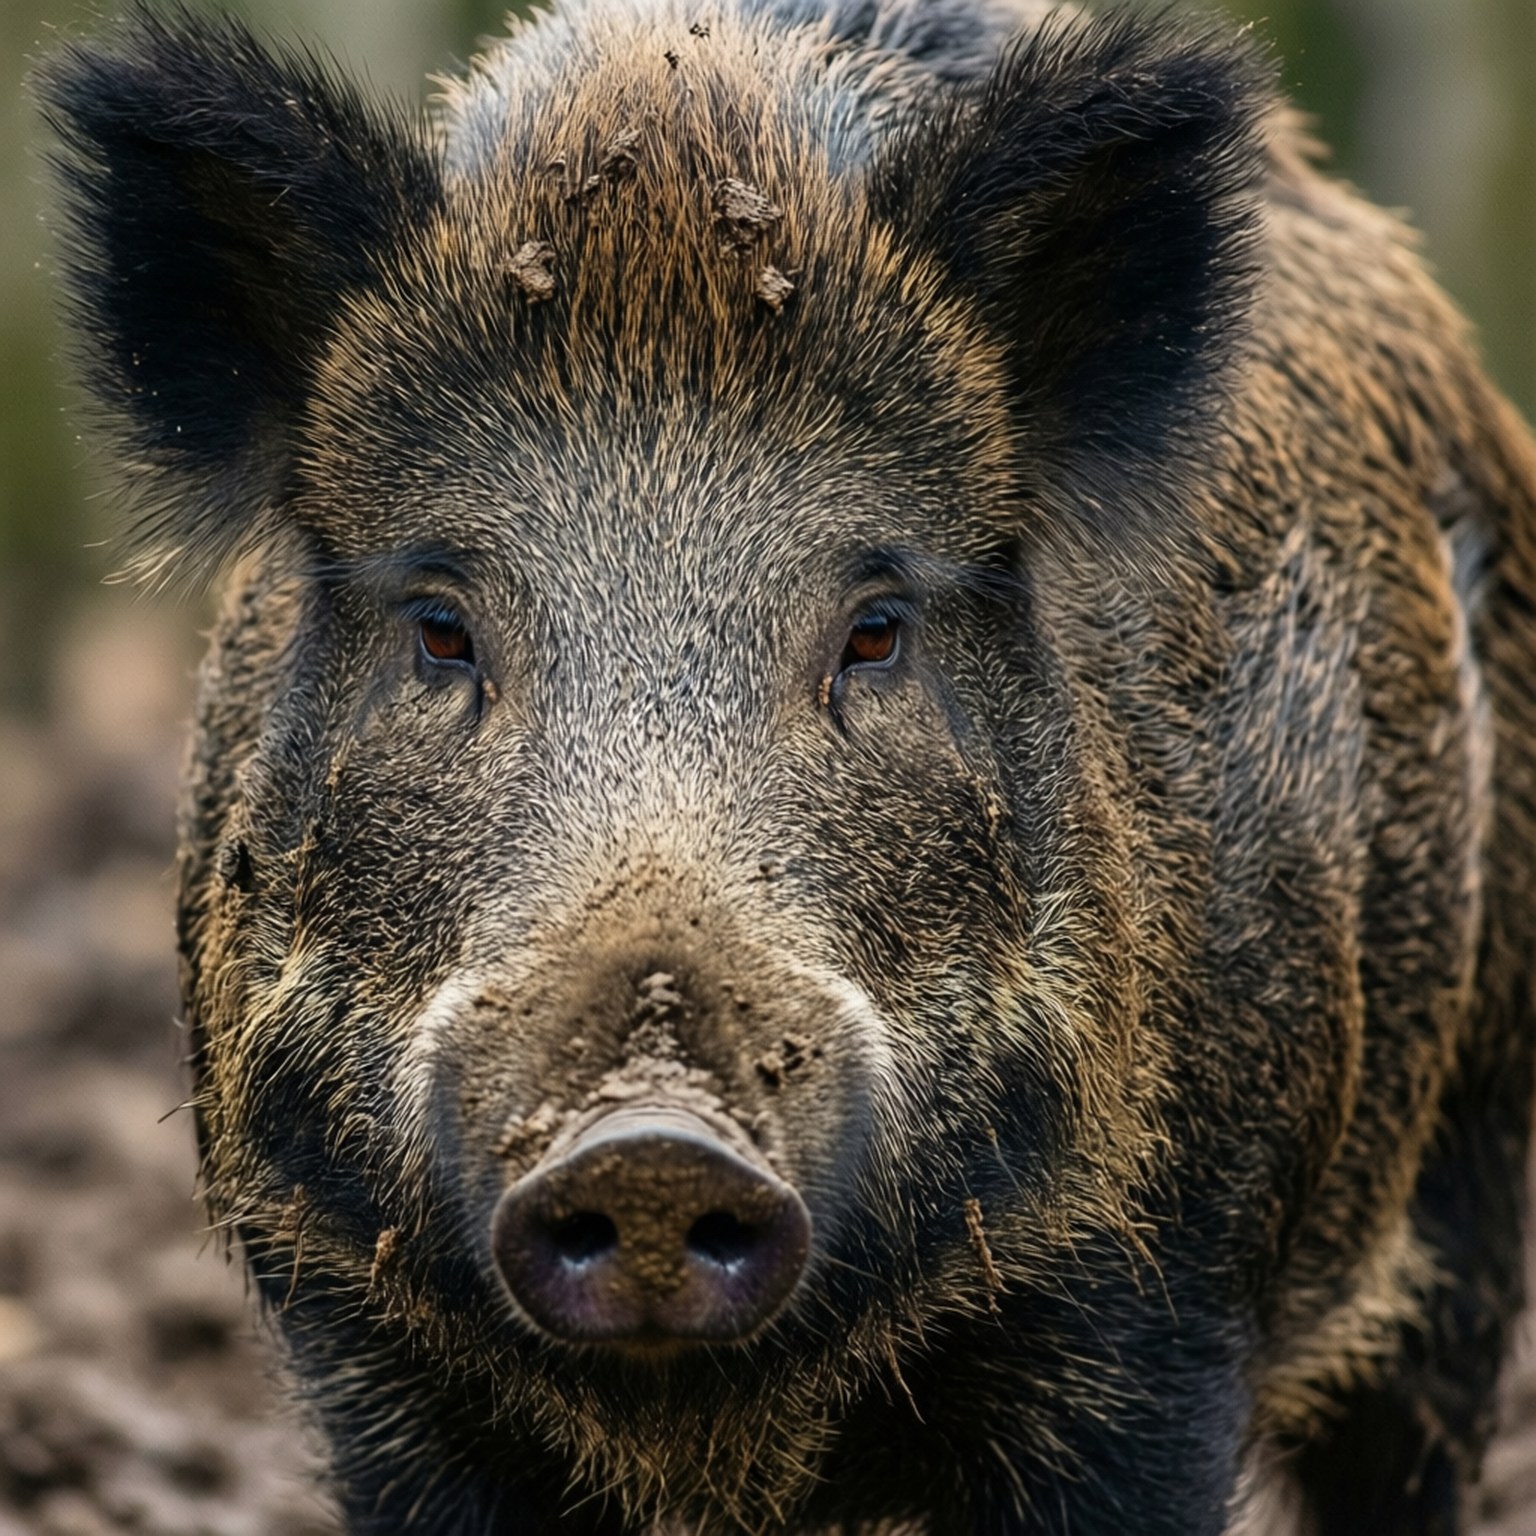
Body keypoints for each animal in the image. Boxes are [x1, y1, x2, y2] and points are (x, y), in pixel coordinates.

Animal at [34, 0, 1536, 1530]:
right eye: (441, 626)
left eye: (875, 628)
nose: (648, 1139)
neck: (710, 1428)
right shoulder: (360, 1334)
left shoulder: (1154, 1304)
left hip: (1472, 1151)